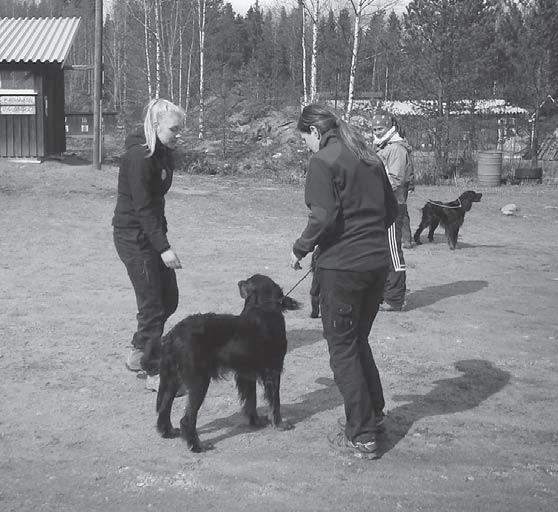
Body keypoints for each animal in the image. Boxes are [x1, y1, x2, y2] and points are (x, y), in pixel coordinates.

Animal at [155, 274, 302, 450]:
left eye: (248, 282)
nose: (239, 282)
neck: (263, 310)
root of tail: (172, 335)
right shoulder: (273, 370)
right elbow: (275, 401)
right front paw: (279, 424)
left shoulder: (247, 374)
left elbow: (251, 401)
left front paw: (255, 421)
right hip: (199, 381)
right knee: (187, 419)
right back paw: (198, 446)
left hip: (172, 380)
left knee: (164, 407)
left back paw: (168, 432)